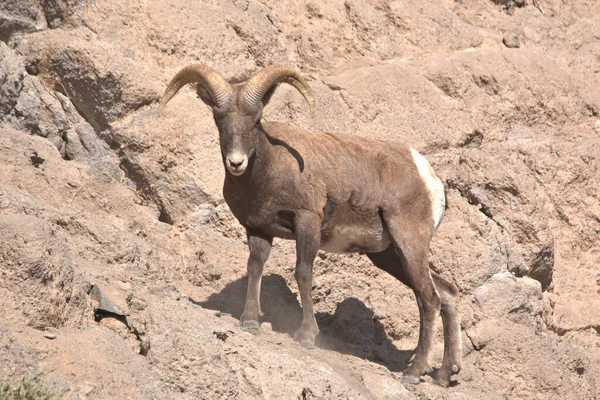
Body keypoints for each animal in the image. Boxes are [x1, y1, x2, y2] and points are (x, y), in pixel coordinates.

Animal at [157, 65, 462, 388]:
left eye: (256, 120)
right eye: (218, 119)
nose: (236, 163)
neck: (266, 174)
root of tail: (429, 178)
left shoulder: (307, 223)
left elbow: (303, 273)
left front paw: (306, 336)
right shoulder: (258, 230)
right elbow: (255, 266)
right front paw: (250, 319)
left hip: (408, 242)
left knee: (429, 298)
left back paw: (414, 373)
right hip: (389, 256)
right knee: (447, 293)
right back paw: (444, 374)